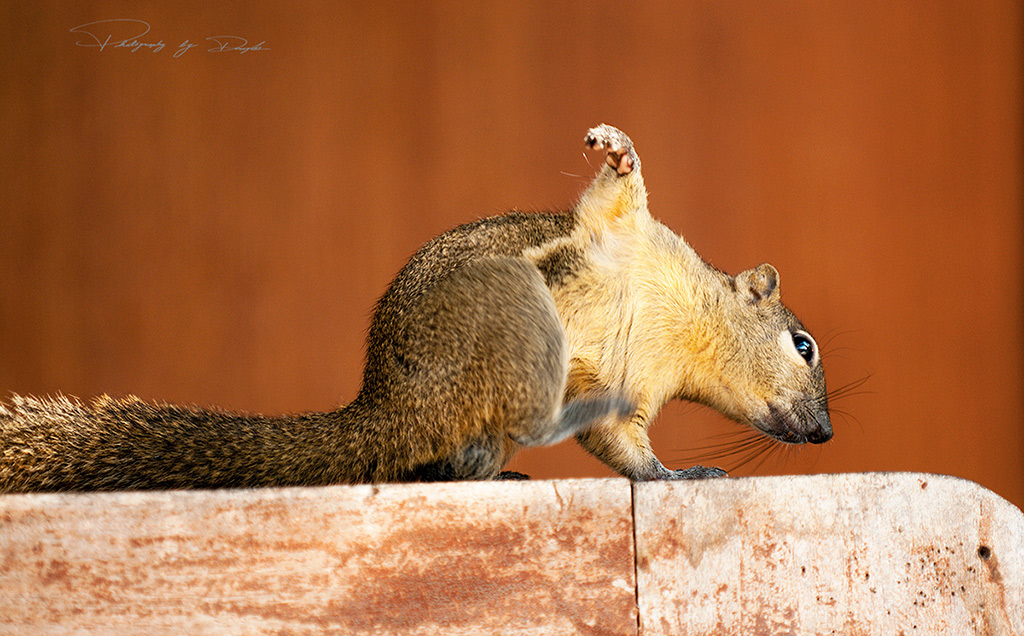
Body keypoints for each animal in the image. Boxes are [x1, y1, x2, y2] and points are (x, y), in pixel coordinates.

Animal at [0, 123, 827, 491]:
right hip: (502, 323)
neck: (677, 330)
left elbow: (625, 447)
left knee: (457, 463)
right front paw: (618, 148)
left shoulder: (632, 391)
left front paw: (671, 474)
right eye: (804, 344)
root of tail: (394, 406)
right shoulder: (621, 234)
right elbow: (615, 193)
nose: (823, 432)